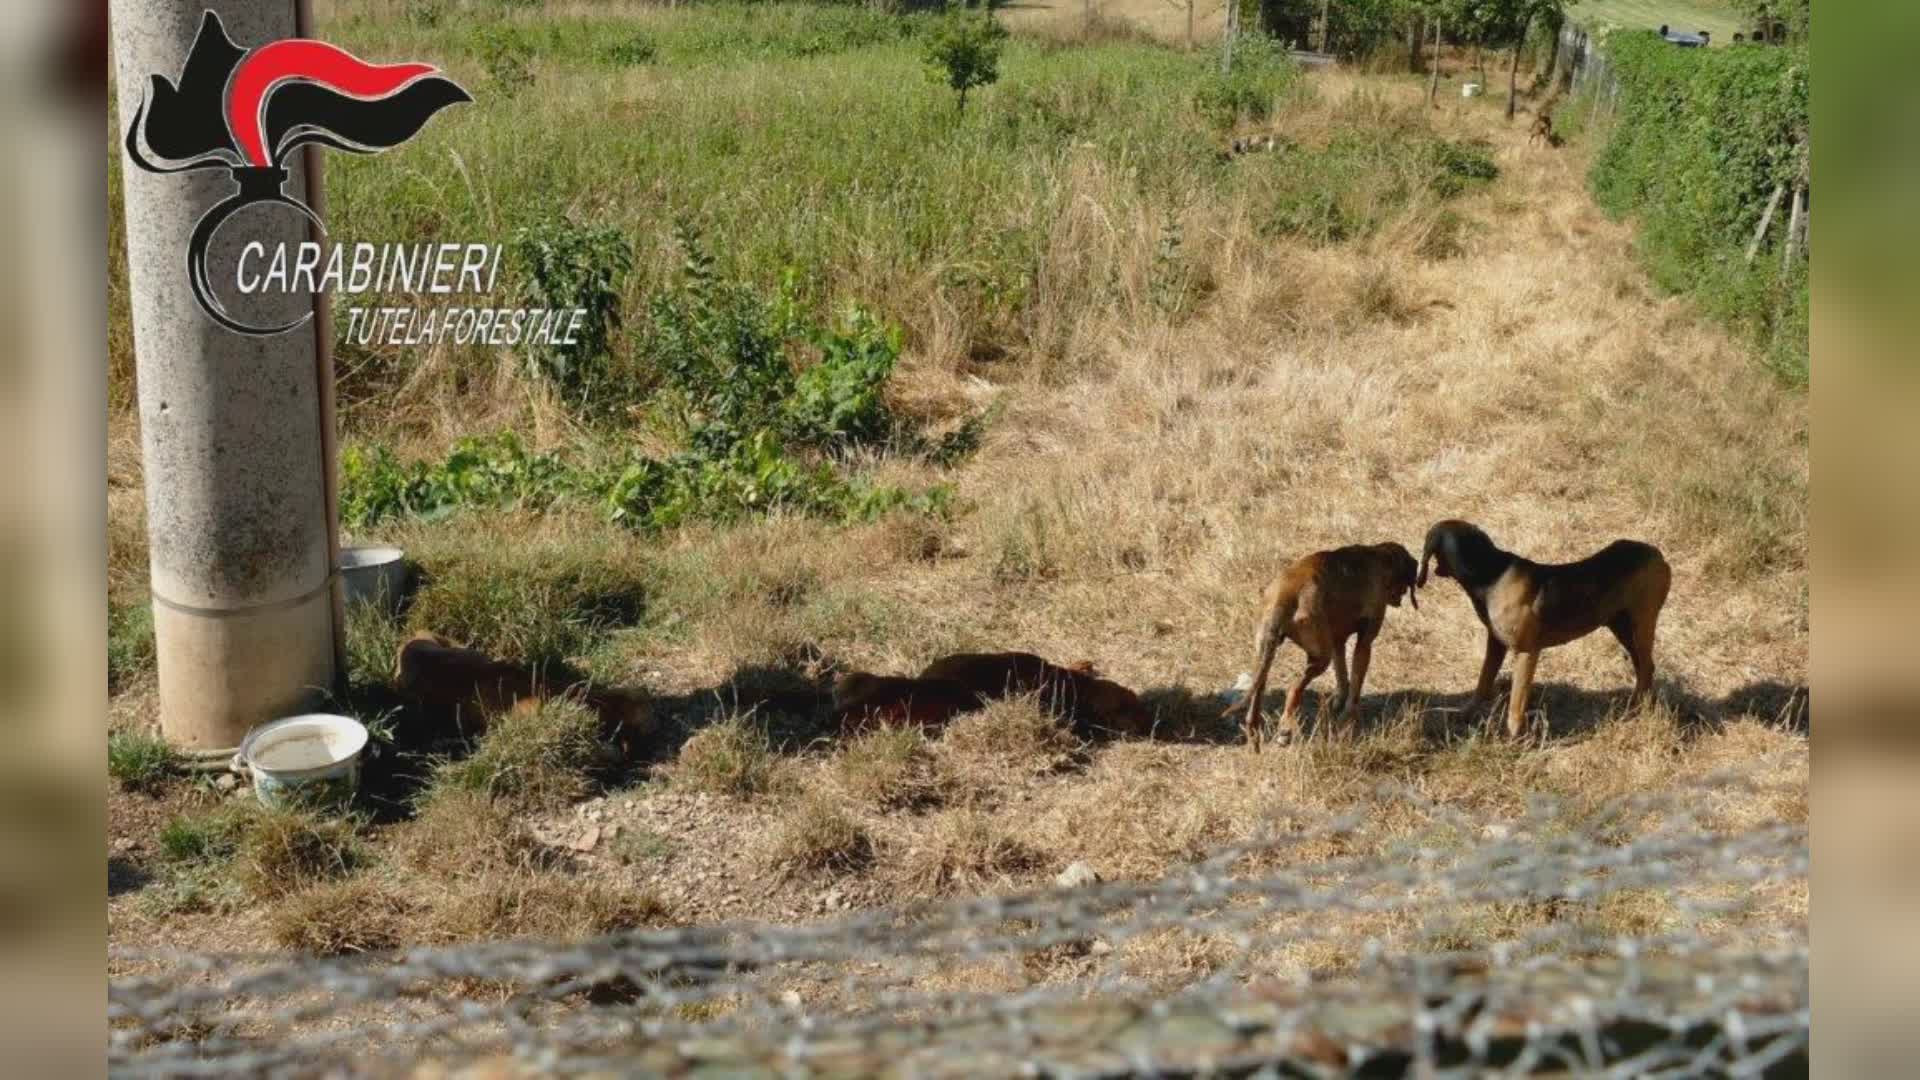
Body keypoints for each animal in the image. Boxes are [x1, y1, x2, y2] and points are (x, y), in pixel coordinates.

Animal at [1236, 538, 1420, 749]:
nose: (1403, 595)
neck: (1379, 557)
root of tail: (1285, 594)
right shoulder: (1364, 644)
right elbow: (1355, 685)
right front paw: (1348, 717)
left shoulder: (1337, 641)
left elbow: (1342, 676)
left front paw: (1339, 702)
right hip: (1319, 658)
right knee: (1293, 689)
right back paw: (1285, 730)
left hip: (1265, 654)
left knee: (1258, 691)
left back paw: (1254, 732)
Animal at [1420, 518, 1674, 734]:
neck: (1491, 573)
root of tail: (1656, 554)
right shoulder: (1495, 645)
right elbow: (1483, 682)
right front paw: (1466, 713)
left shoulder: (1526, 653)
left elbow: (1517, 701)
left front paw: (1514, 736)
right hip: (1622, 627)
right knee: (1643, 667)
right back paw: (1637, 705)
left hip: (1641, 625)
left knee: (1646, 667)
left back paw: (1639, 710)